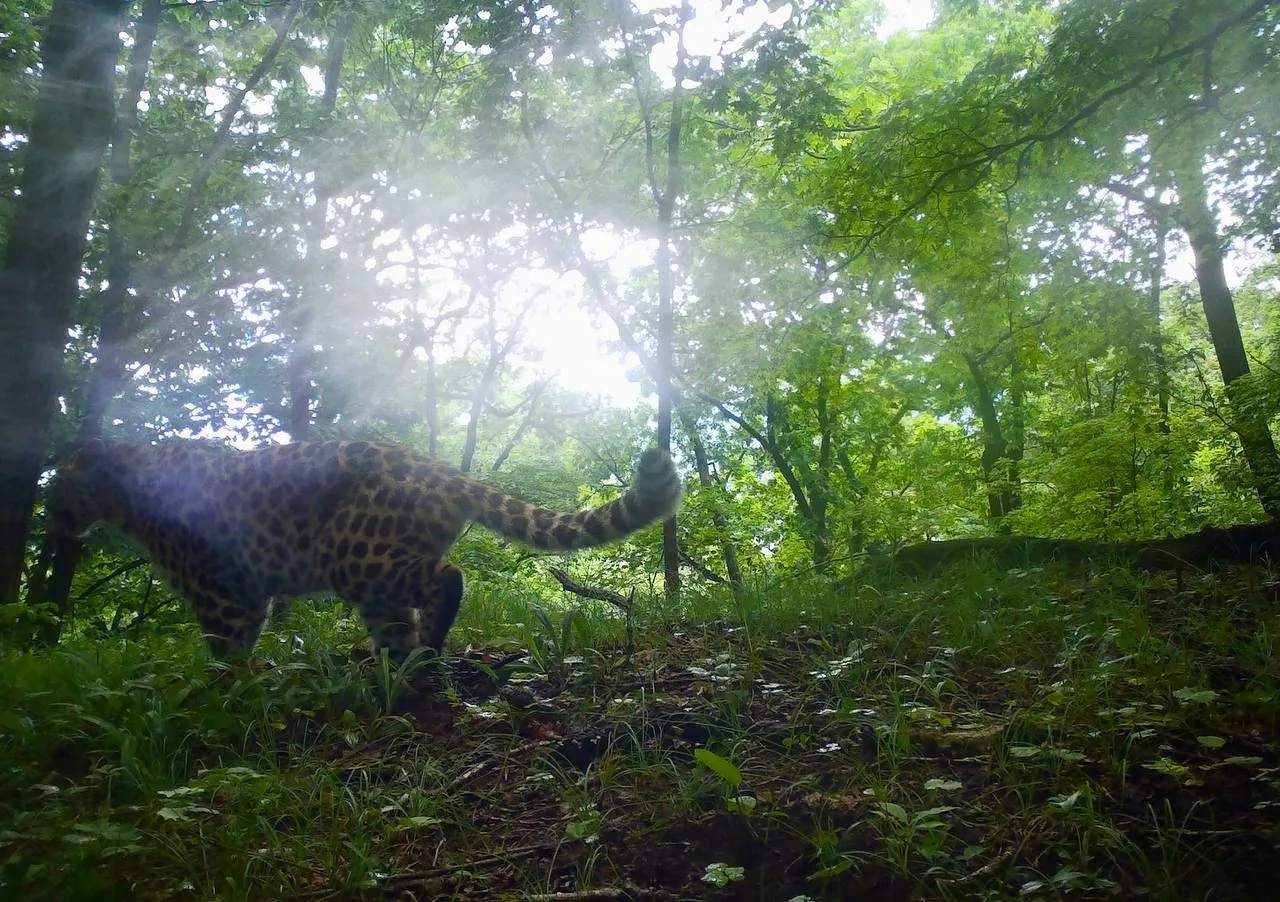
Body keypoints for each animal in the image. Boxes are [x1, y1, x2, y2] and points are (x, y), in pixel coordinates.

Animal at [49, 438, 682, 662]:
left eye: (60, 481)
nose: (52, 516)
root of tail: (442, 470)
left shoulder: (219, 594)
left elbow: (226, 652)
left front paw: (223, 698)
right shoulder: (248, 593)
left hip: (356, 557)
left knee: (447, 577)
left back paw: (427, 647)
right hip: (372, 576)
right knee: (398, 623)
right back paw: (395, 672)